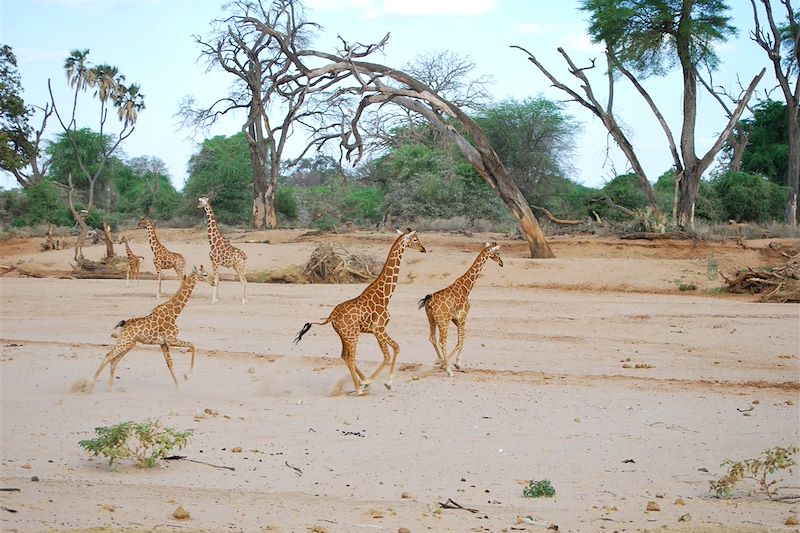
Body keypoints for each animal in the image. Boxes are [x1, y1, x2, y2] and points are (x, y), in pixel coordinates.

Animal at [294, 229, 428, 394]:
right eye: (415, 239)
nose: (423, 249)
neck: (385, 296)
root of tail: (331, 317)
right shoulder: (379, 328)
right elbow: (389, 354)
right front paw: (380, 382)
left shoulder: (378, 330)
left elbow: (396, 348)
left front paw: (380, 382)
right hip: (352, 336)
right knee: (350, 358)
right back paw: (359, 389)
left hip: (344, 336)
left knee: (344, 356)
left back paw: (360, 383)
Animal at [416, 241, 504, 374]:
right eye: (497, 252)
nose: (501, 263)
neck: (467, 287)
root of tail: (428, 301)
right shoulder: (462, 316)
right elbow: (460, 340)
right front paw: (454, 363)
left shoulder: (456, 319)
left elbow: (463, 337)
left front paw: (449, 363)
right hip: (443, 321)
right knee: (442, 341)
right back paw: (447, 368)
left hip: (431, 319)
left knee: (432, 338)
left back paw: (441, 361)